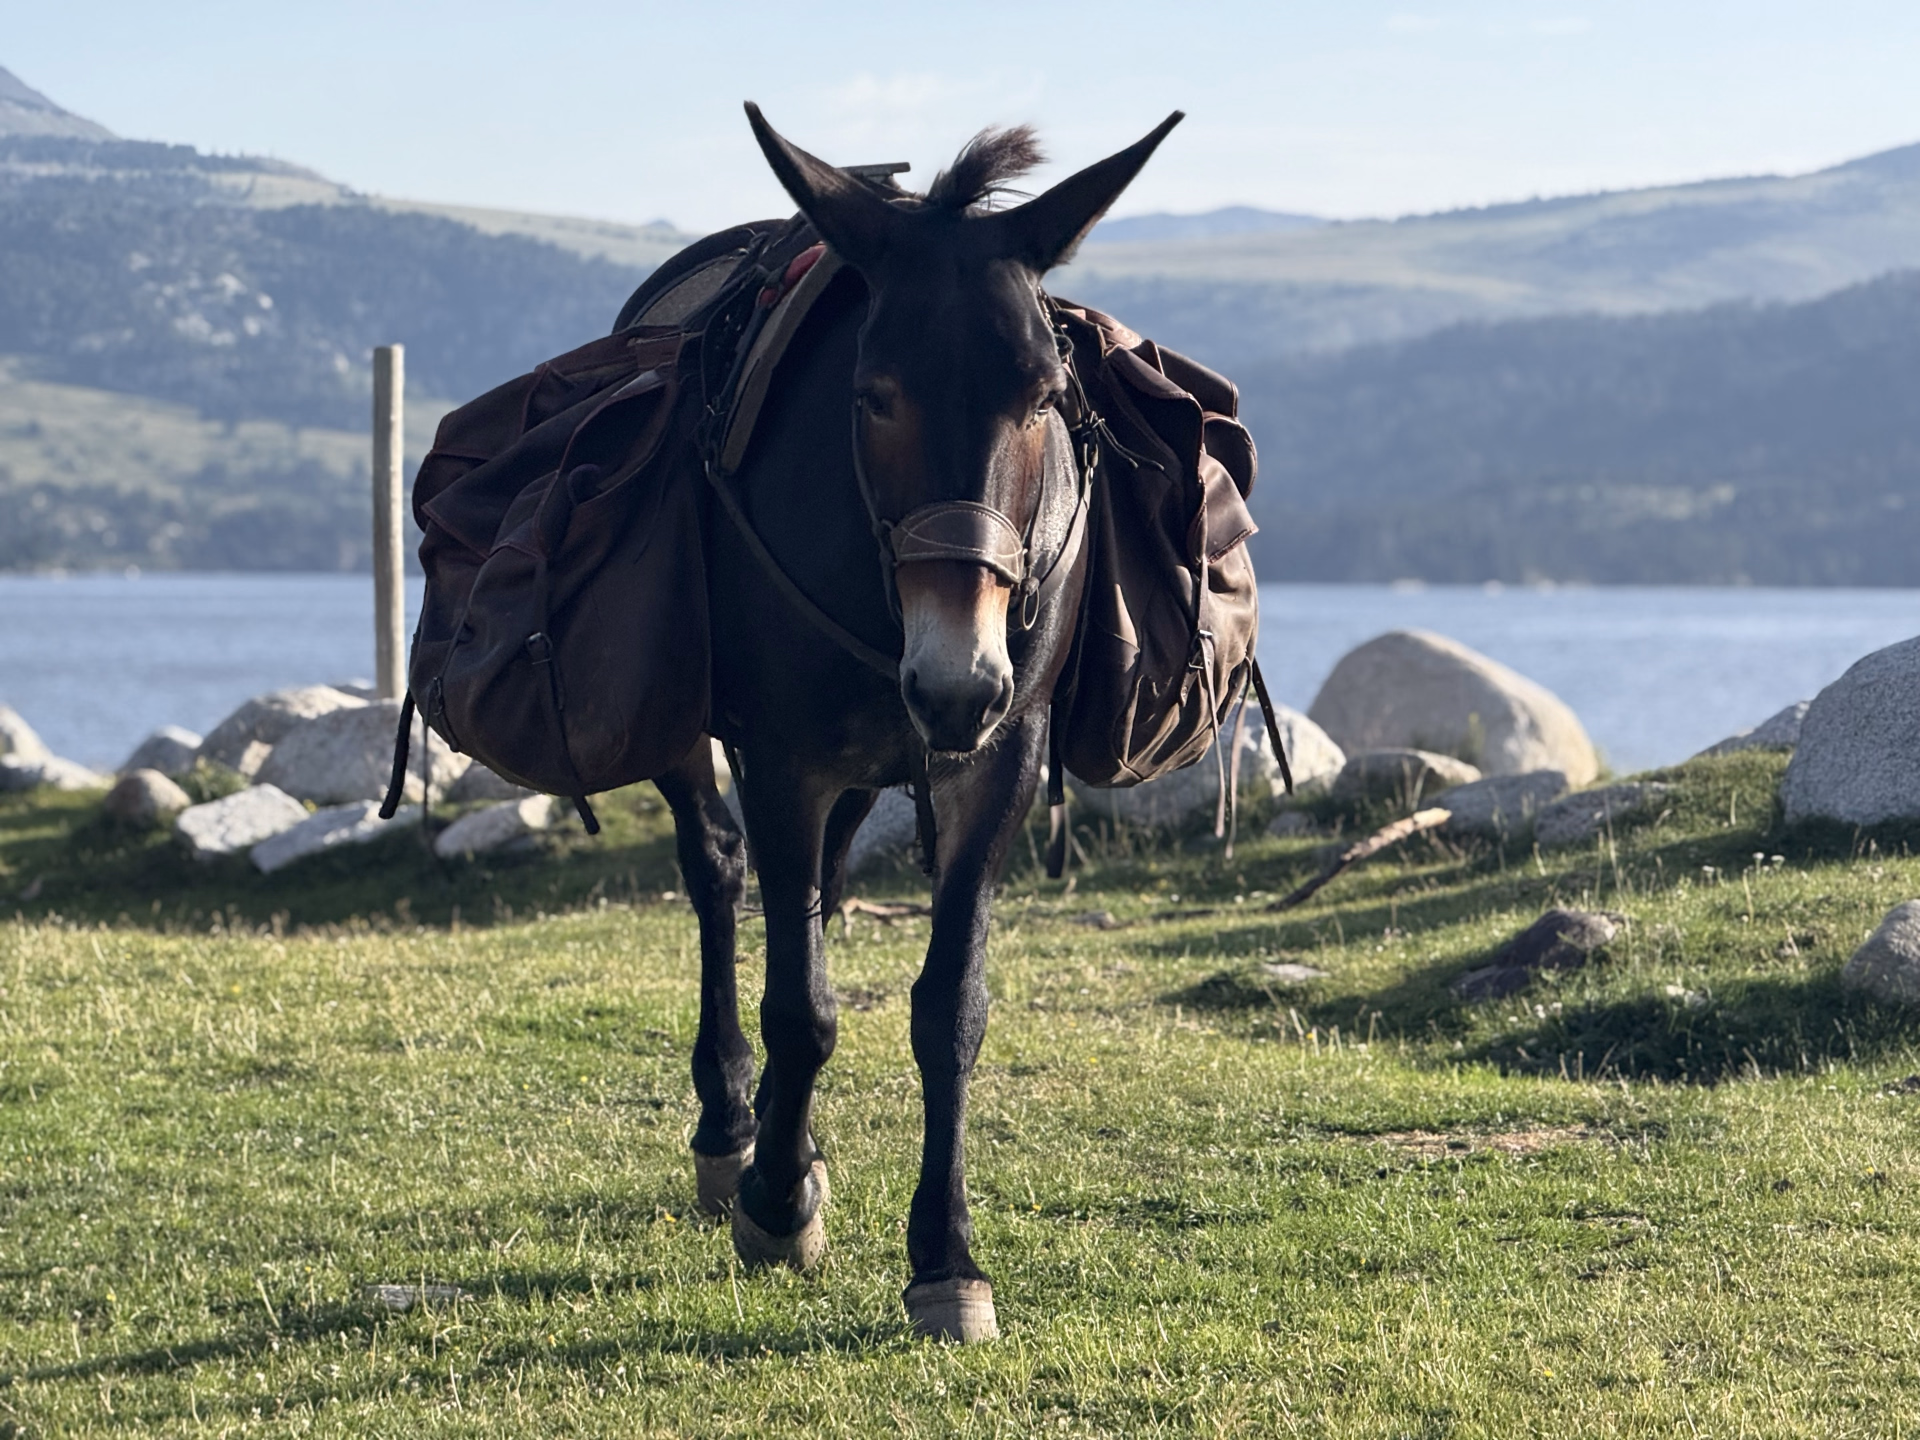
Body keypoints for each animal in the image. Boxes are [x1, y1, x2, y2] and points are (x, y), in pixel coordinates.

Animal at [648, 104, 1184, 1342]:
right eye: (873, 393)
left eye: (1044, 394)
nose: (953, 684)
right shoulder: (781, 756)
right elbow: (798, 1005)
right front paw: (776, 1207)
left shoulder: (1000, 758)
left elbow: (949, 1008)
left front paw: (946, 1259)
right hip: (694, 732)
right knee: (718, 875)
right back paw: (733, 1134)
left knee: (819, 893)